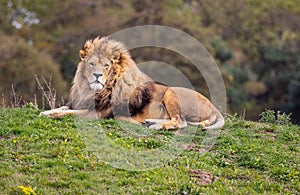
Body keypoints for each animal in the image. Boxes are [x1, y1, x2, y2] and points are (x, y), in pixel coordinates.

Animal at [39, 36, 224, 129]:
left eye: (106, 66)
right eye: (91, 64)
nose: (97, 75)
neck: (93, 90)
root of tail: (215, 109)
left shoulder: (97, 114)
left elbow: (67, 113)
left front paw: (48, 115)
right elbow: (63, 108)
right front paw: (46, 111)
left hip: (171, 92)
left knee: (181, 122)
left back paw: (157, 126)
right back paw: (148, 122)